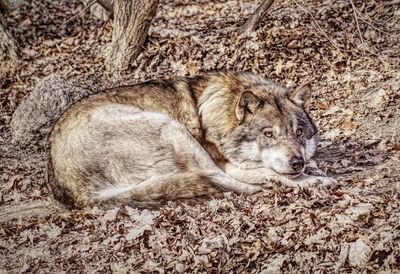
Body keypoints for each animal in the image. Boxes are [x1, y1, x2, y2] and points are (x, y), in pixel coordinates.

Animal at [20, 71, 338, 208]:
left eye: (299, 132)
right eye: (268, 134)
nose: (296, 162)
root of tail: (74, 191)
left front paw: (313, 168)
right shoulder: (226, 161)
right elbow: (267, 172)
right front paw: (312, 179)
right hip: (171, 128)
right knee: (221, 179)